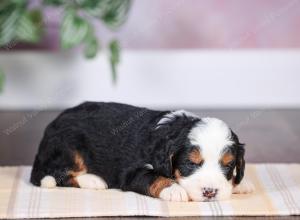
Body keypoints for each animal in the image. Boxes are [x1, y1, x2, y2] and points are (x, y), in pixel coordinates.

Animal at [30, 101, 253, 201]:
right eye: (191, 163)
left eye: (228, 165)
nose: (210, 192)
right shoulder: (132, 172)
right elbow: (153, 177)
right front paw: (174, 189)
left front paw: (240, 184)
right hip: (67, 146)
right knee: (56, 173)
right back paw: (93, 180)